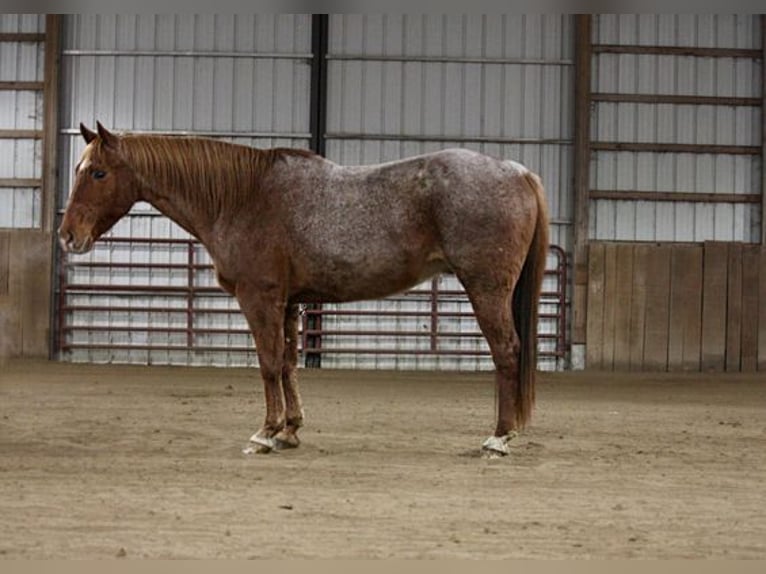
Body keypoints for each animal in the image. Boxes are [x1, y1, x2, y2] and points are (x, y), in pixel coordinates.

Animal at [60, 122, 552, 460]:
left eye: (98, 172)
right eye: (80, 169)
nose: (68, 236)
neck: (244, 198)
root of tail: (516, 170)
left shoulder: (259, 299)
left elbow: (267, 364)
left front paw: (264, 433)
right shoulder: (289, 304)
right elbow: (288, 365)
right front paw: (290, 430)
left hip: (487, 289)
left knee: (507, 351)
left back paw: (498, 438)